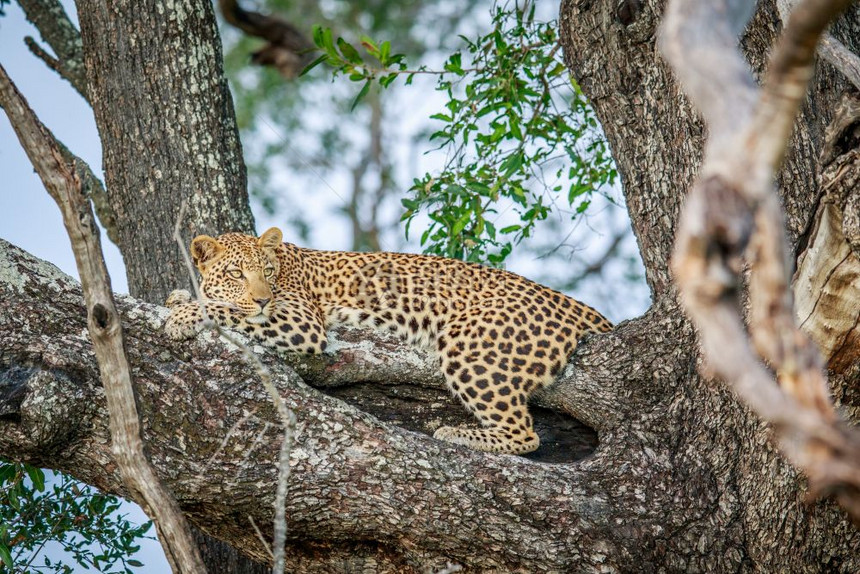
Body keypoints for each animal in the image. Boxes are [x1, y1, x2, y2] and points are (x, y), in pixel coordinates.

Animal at [165, 227, 612, 456]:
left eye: (268, 271)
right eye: (237, 273)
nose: (262, 298)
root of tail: (583, 309)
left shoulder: (301, 320)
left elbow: (225, 310)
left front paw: (182, 317)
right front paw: (179, 297)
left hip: (469, 342)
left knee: (524, 435)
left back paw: (455, 433)